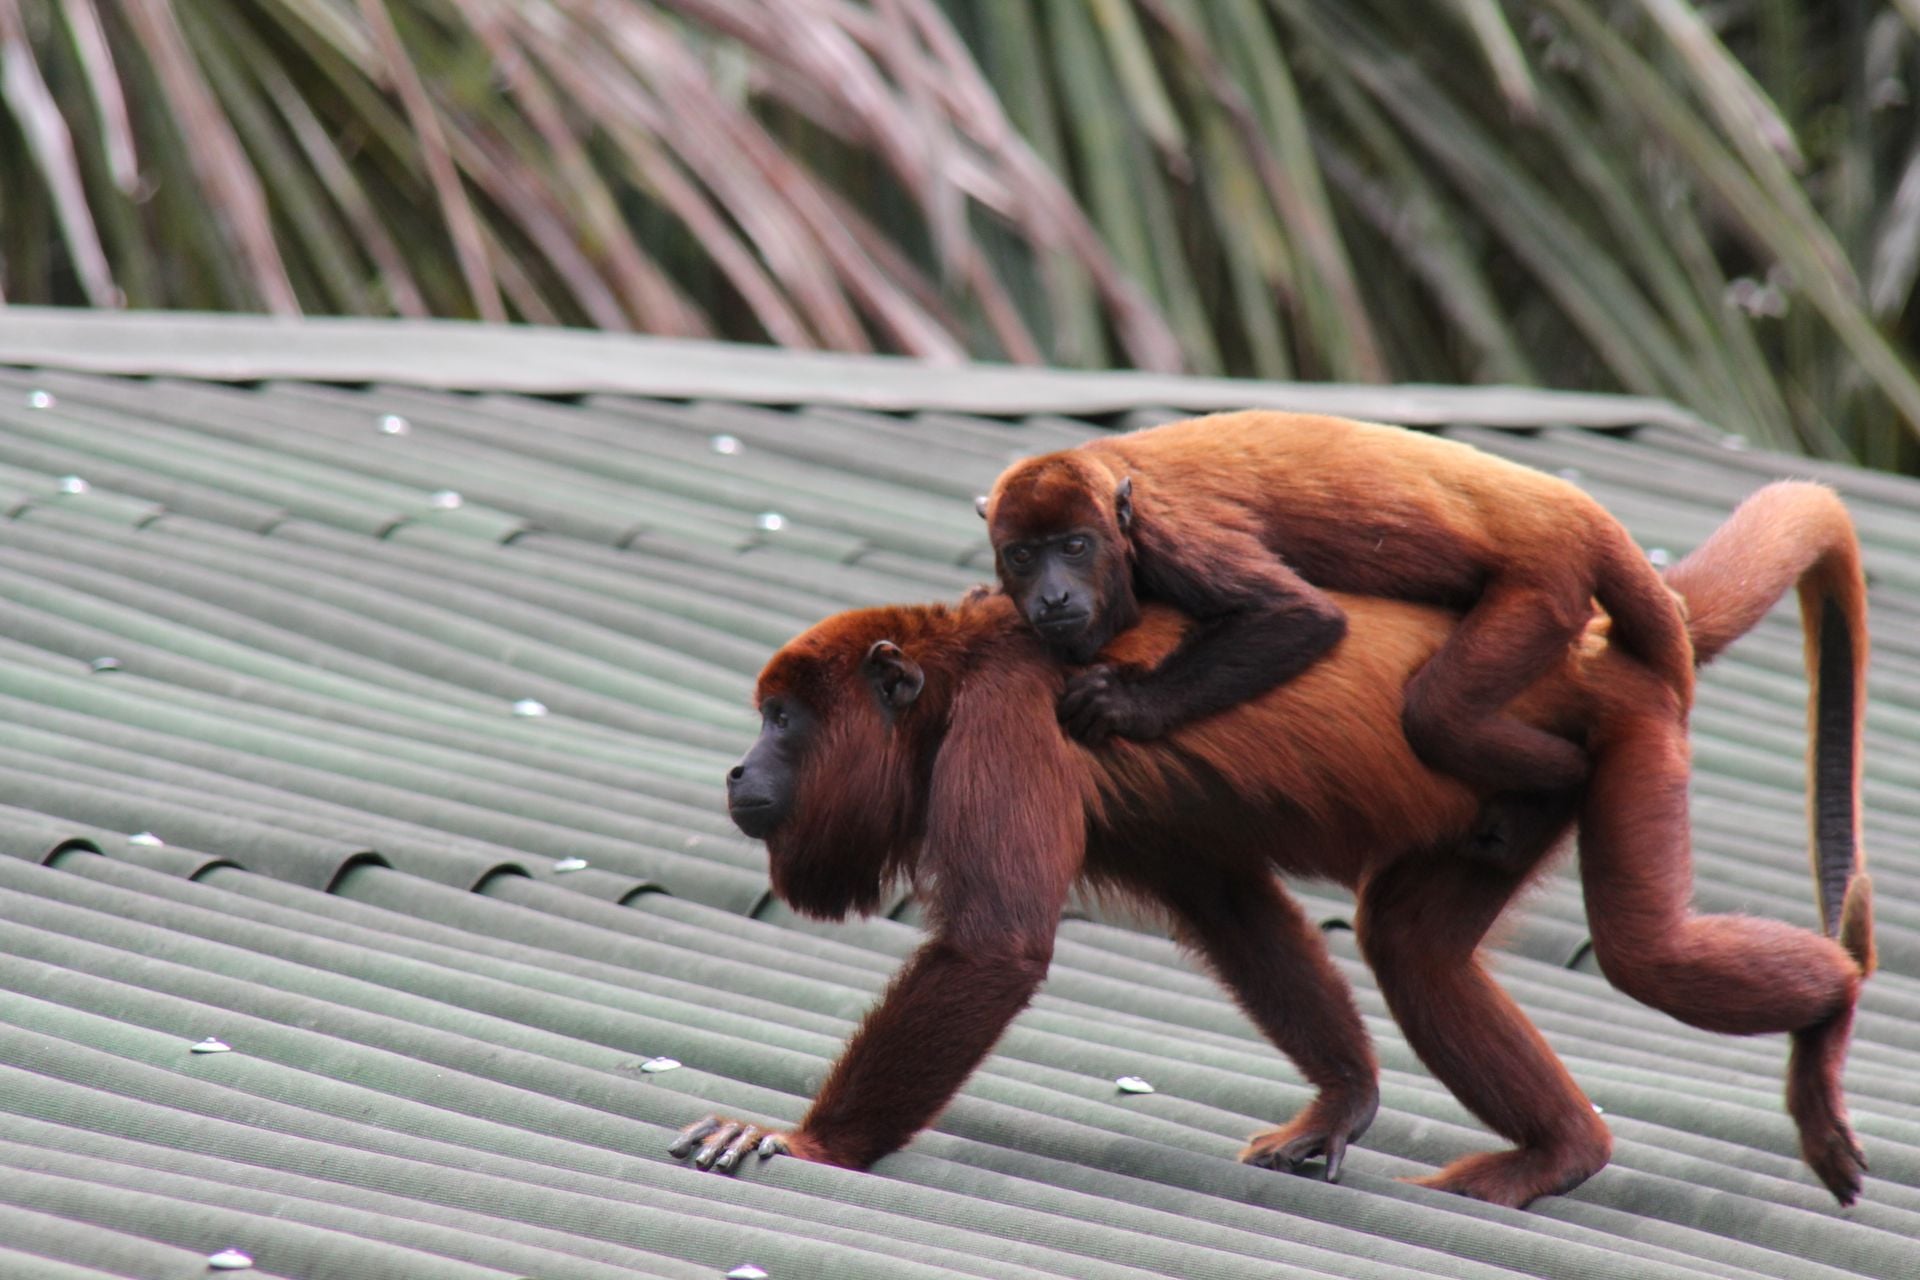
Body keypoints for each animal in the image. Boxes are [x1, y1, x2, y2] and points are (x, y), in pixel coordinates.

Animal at [673, 482, 1873, 1211]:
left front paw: (808, 1143)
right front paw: (1345, 1096)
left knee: (1641, 948)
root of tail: (1597, 638)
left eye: (782, 718)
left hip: (1629, 733)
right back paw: (1562, 1151)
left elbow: (996, 946)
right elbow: (1226, 899)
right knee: (1409, 943)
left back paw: (1835, 1008)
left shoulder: (1007, 721)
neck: (954, 674)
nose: (736, 769)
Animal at [977, 411, 1696, 850]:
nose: (1054, 594)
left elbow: (1297, 615)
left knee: (1439, 713)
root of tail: (1575, 508)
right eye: (1023, 555)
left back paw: (1560, 781)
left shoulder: (1173, 531)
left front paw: (1125, 704)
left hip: (1546, 582)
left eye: (1074, 547)